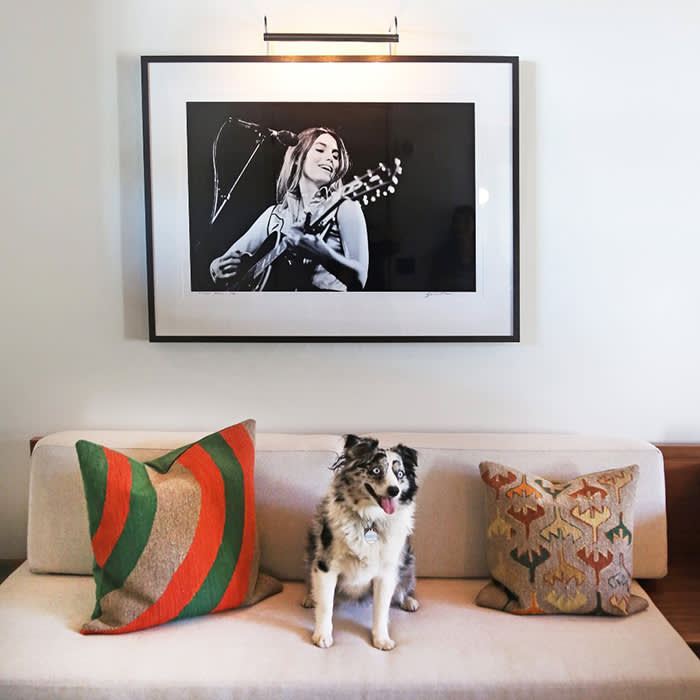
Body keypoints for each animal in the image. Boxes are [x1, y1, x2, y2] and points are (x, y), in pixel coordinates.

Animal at [302, 434, 422, 648]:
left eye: (399, 473)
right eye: (376, 470)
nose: (394, 491)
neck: (369, 519)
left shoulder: (386, 572)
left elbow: (381, 609)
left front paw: (381, 639)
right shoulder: (325, 565)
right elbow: (325, 605)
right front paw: (322, 635)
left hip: (408, 561)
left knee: (403, 588)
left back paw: (409, 601)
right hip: (310, 552)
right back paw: (310, 597)